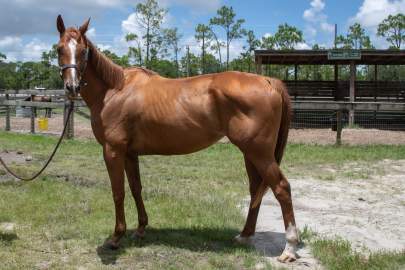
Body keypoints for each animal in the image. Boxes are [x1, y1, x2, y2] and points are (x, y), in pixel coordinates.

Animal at [55, 15, 298, 262]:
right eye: (59, 49)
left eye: (83, 51)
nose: (72, 86)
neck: (115, 91)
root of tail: (269, 81)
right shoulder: (130, 154)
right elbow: (136, 188)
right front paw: (141, 229)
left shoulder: (113, 151)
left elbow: (118, 192)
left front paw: (116, 237)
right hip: (250, 153)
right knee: (256, 188)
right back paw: (245, 235)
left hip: (259, 153)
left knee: (281, 188)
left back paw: (289, 248)